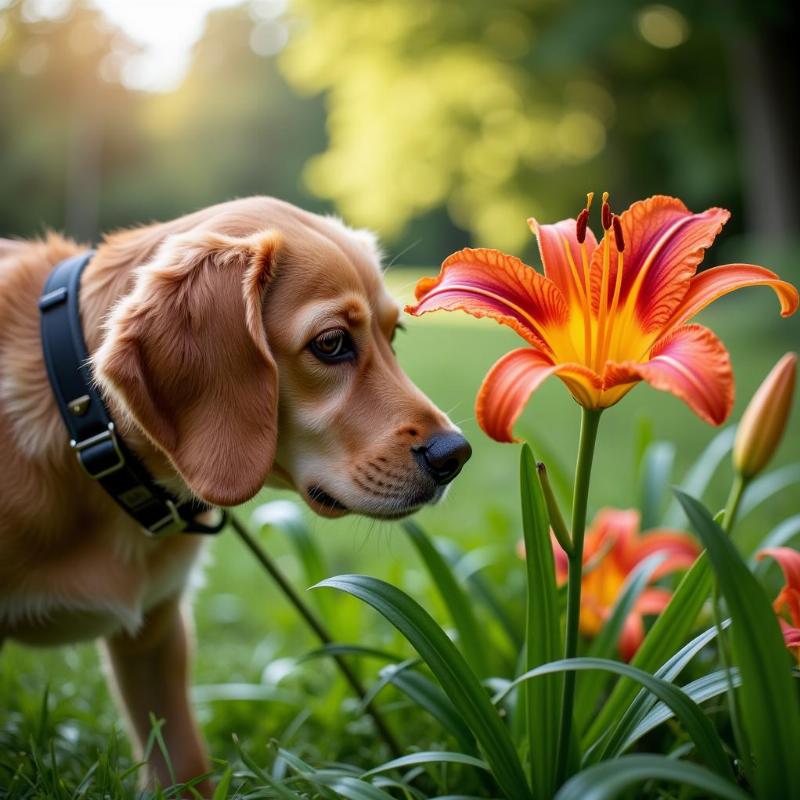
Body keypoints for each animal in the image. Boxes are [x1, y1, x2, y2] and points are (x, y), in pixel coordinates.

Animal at [0, 197, 468, 792]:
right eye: (331, 343)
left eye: (395, 334)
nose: (456, 454)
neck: (82, 426)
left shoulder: (156, 635)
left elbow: (183, 764)